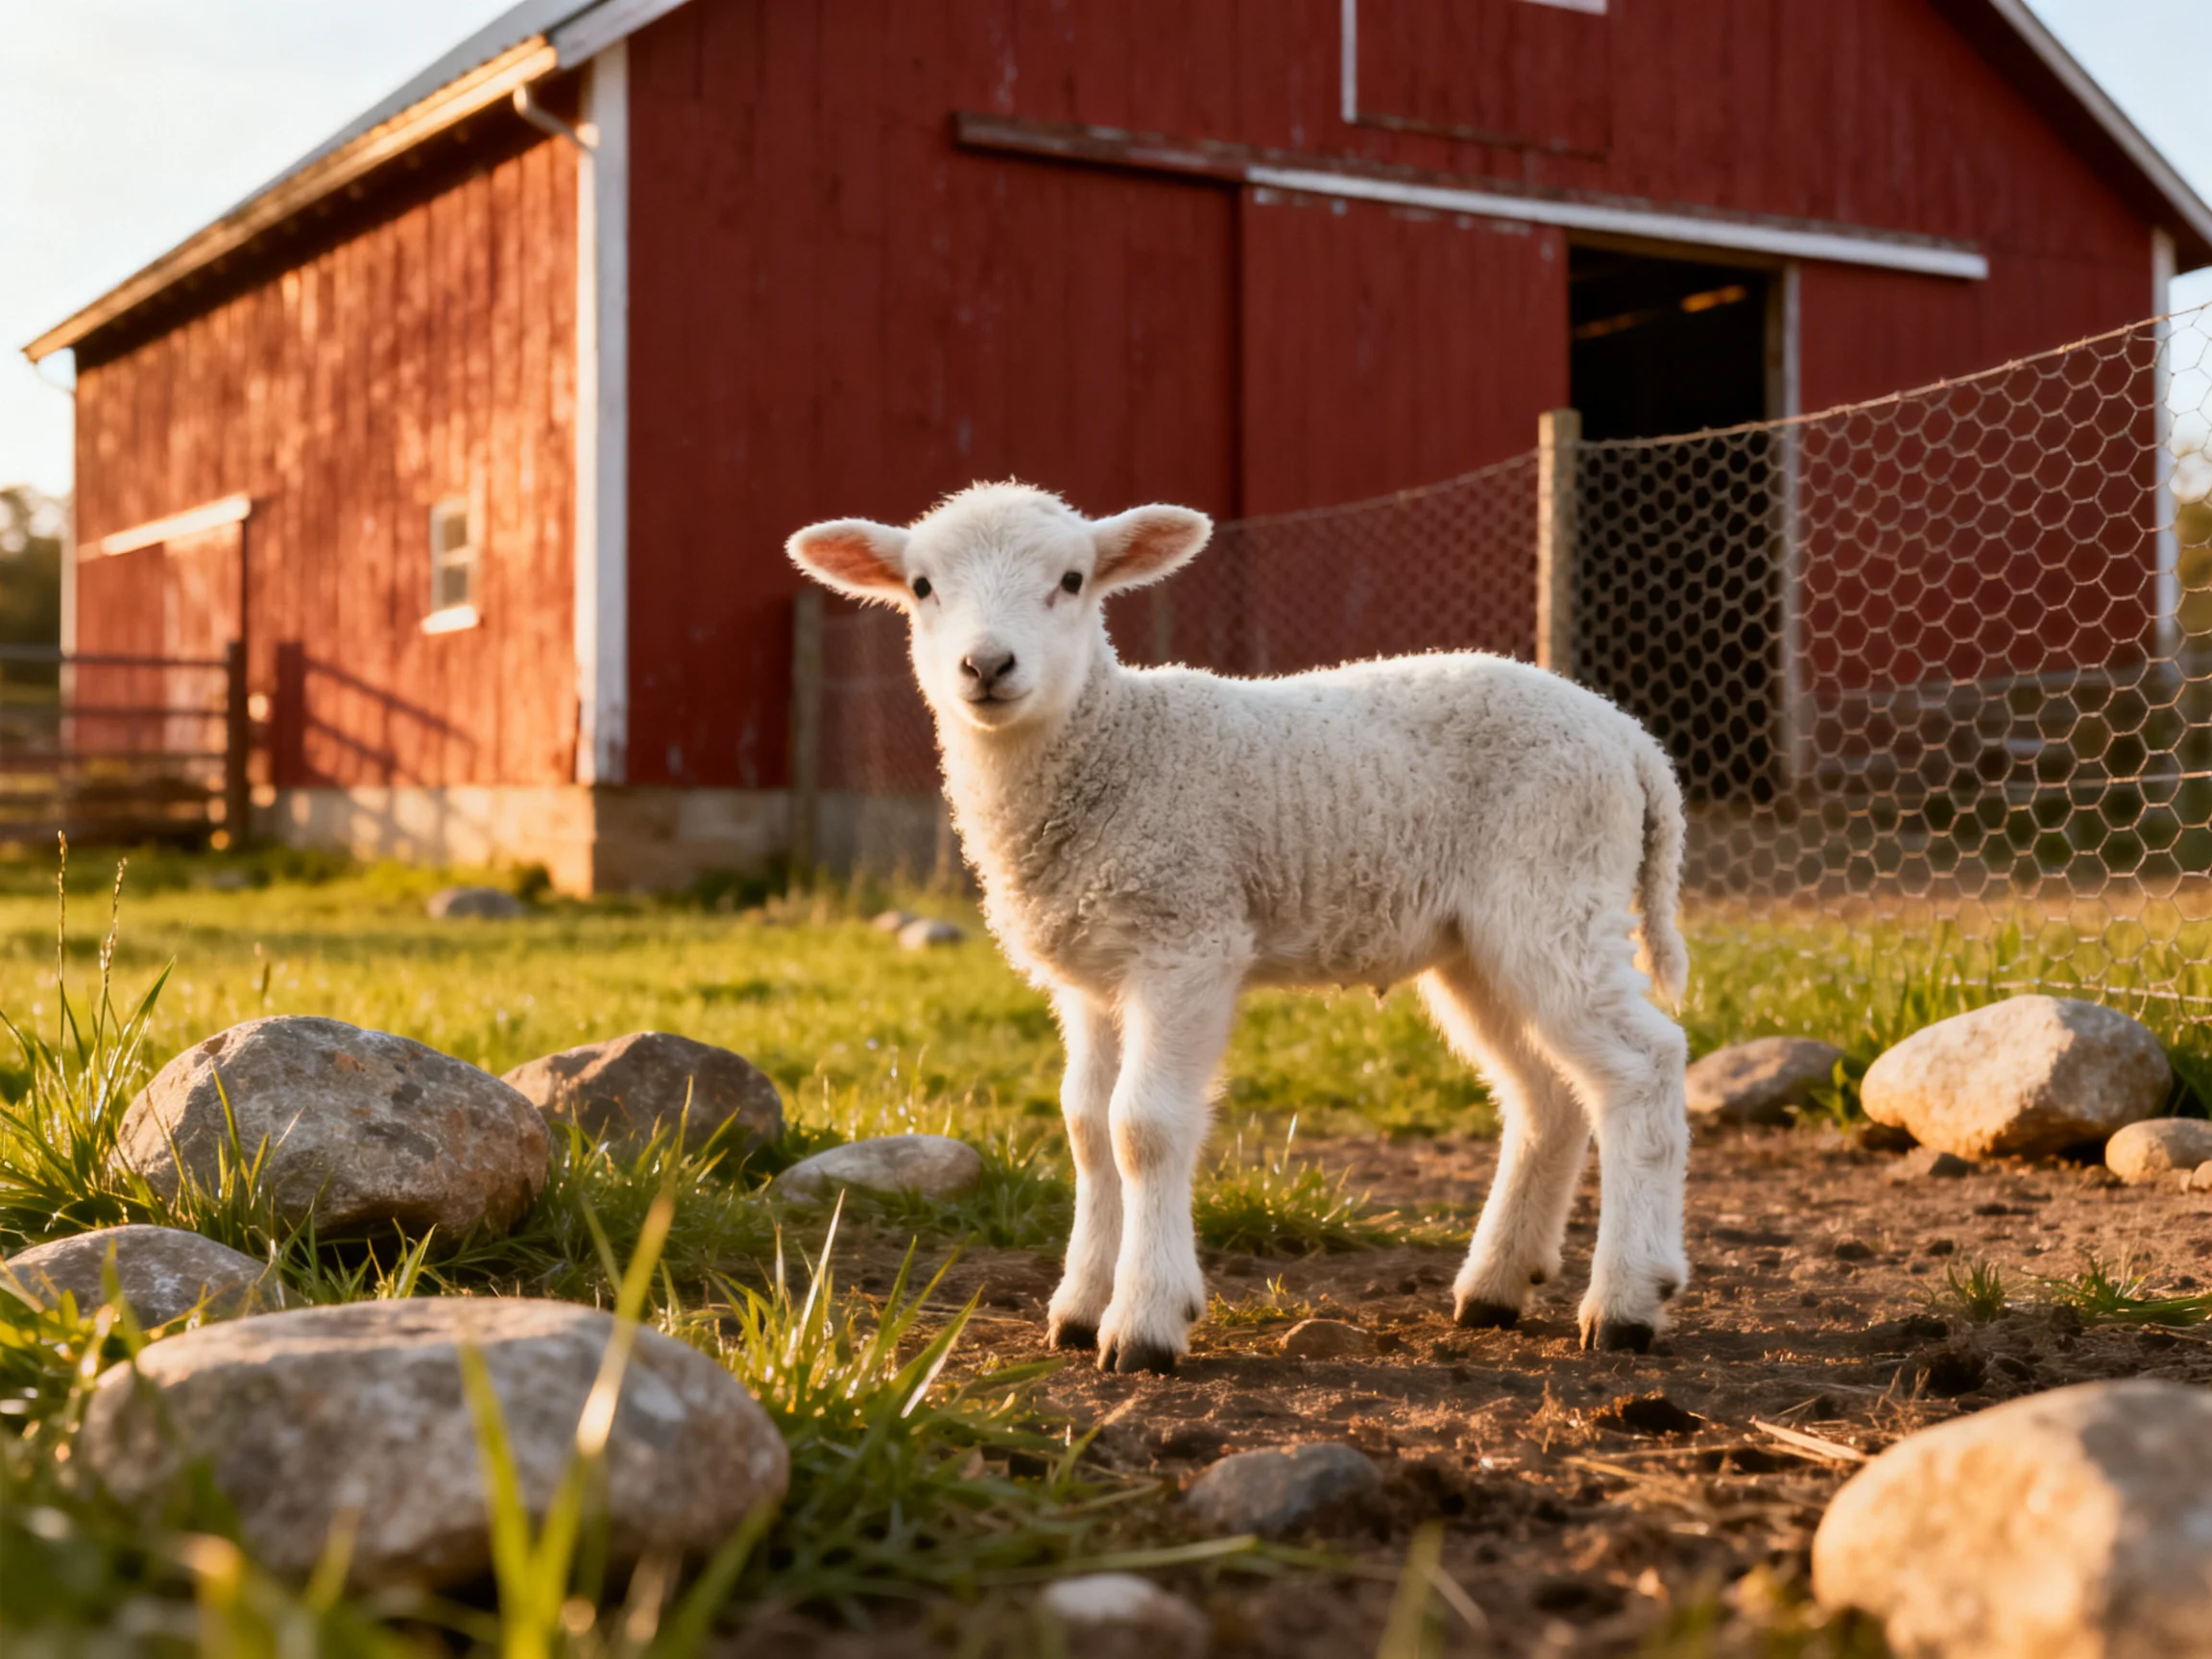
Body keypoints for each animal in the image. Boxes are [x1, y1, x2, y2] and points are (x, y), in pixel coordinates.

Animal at [788, 481, 1691, 1374]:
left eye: (1073, 581)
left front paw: (1144, 1322)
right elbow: (1085, 1125)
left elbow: (1142, 1128)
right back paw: (1497, 1287)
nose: (986, 666)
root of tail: (1630, 738)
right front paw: (1078, 1309)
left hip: (1554, 891)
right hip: (1477, 944)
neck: (1115, 748)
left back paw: (1628, 1300)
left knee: (1644, 1065)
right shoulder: (1092, 973)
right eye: (922, 587)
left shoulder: (1187, 938)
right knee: (1547, 1095)